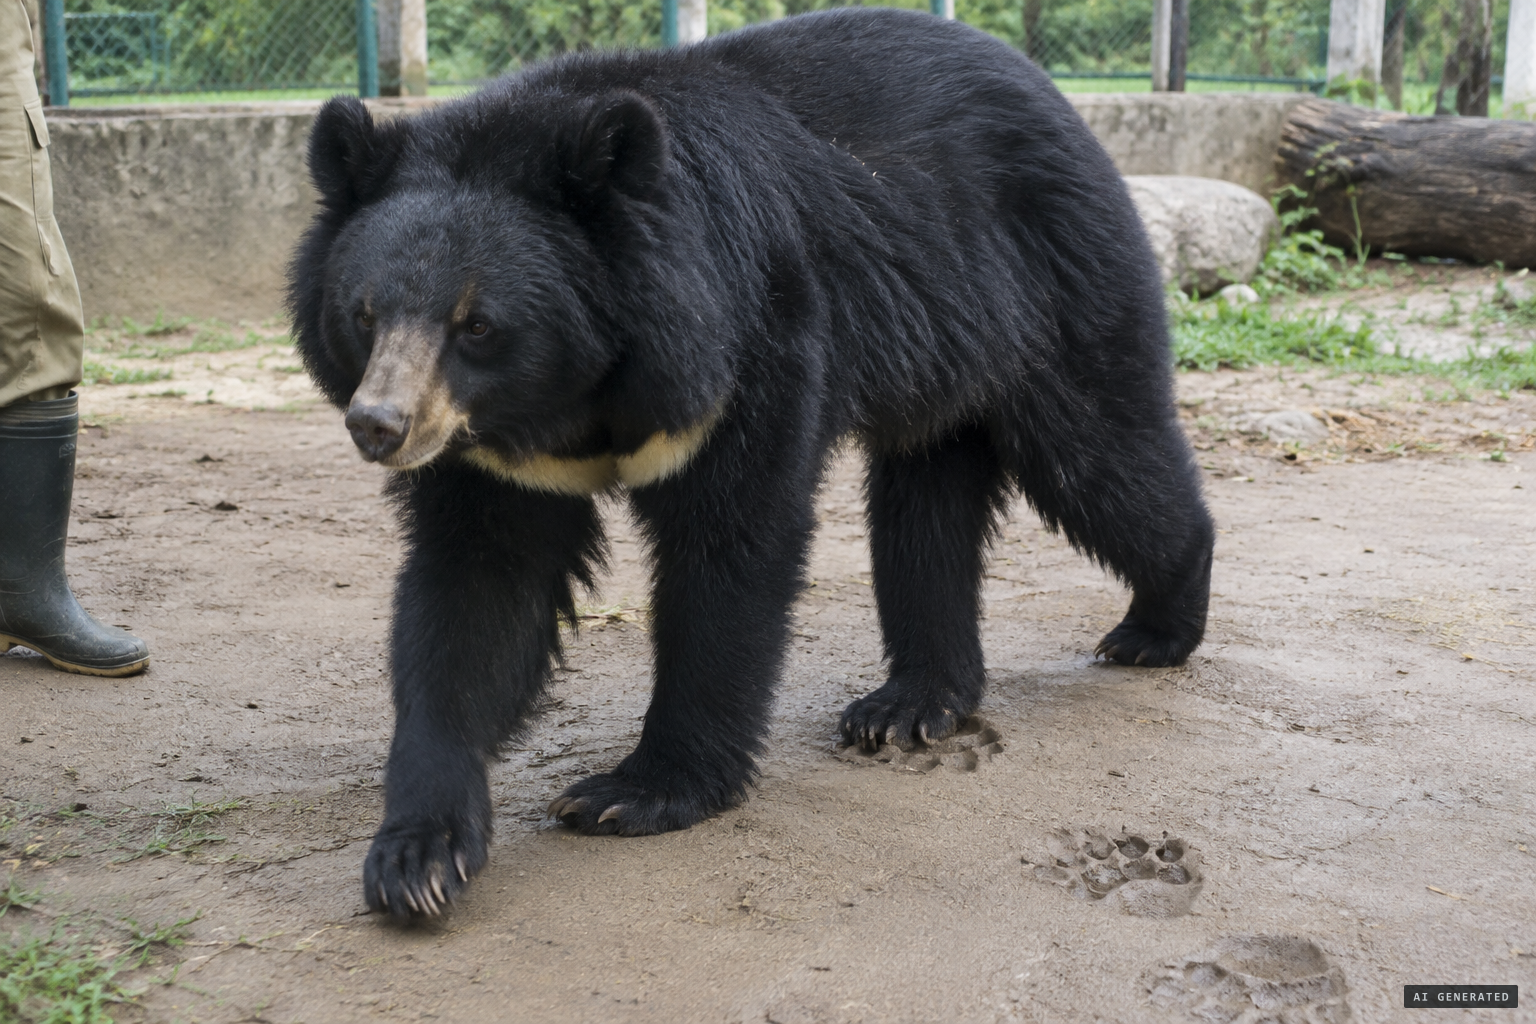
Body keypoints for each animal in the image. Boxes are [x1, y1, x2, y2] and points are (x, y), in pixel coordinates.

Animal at [289, 6, 1215, 919]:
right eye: (364, 315)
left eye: (477, 324)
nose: (379, 426)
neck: (566, 402)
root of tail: (1062, 104)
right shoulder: (491, 456)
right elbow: (476, 592)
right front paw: (417, 857)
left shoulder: (744, 348)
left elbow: (730, 551)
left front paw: (635, 794)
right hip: (940, 352)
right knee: (922, 521)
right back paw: (909, 705)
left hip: (1051, 288)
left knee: (1100, 458)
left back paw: (1152, 630)